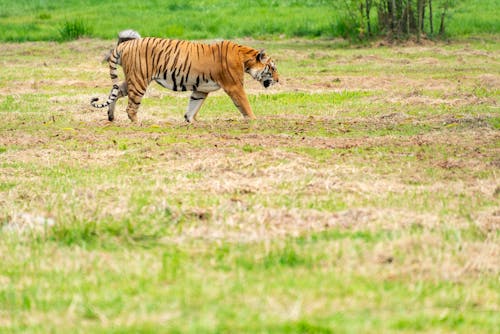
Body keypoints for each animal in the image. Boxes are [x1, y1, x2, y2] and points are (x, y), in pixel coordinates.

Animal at [90, 30, 278, 122]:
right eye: (273, 68)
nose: (278, 80)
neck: (245, 59)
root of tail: (125, 45)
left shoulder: (201, 89)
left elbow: (193, 106)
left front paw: (190, 121)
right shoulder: (235, 86)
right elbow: (244, 104)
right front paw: (253, 120)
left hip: (133, 79)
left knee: (115, 91)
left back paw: (111, 116)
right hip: (139, 80)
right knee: (131, 107)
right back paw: (137, 123)